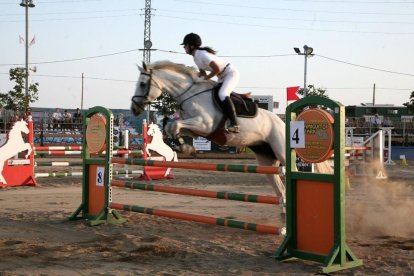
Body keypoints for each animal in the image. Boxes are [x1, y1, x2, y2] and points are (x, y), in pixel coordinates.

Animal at [131, 61, 332, 202]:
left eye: (142, 83)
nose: (134, 108)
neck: (190, 93)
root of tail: (283, 122)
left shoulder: (204, 125)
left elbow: (174, 126)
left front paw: (185, 148)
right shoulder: (197, 130)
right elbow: (172, 127)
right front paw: (185, 148)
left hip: (282, 151)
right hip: (266, 158)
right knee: (279, 188)